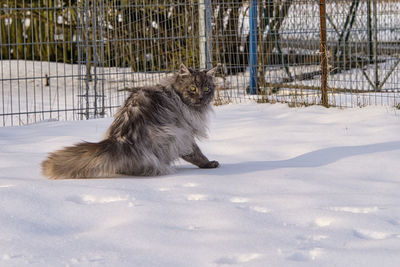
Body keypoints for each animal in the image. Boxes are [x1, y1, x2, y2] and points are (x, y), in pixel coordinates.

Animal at [41, 63, 219, 179]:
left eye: (207, 89)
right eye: (193, 88)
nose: (201, 98)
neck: (174, 93)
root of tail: (119, 140)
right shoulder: (185, 132)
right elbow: (196, 153)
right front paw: (208, 164)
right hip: (171, 135)